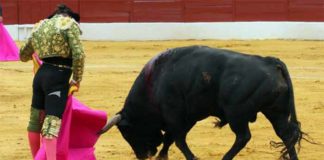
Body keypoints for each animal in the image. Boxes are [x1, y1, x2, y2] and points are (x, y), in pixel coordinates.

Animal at [100, 45, 304, 160]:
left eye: (127, 132)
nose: (143, 156)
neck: (154, 82)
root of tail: (271, 62)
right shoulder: (189, 116)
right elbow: (171, 138)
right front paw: (162, 156)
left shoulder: (174, 114)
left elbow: (178, 139)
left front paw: (190, 157)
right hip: (276, 111)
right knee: (286, 135)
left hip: (236, 113)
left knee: (243, 136)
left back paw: (225, 158)